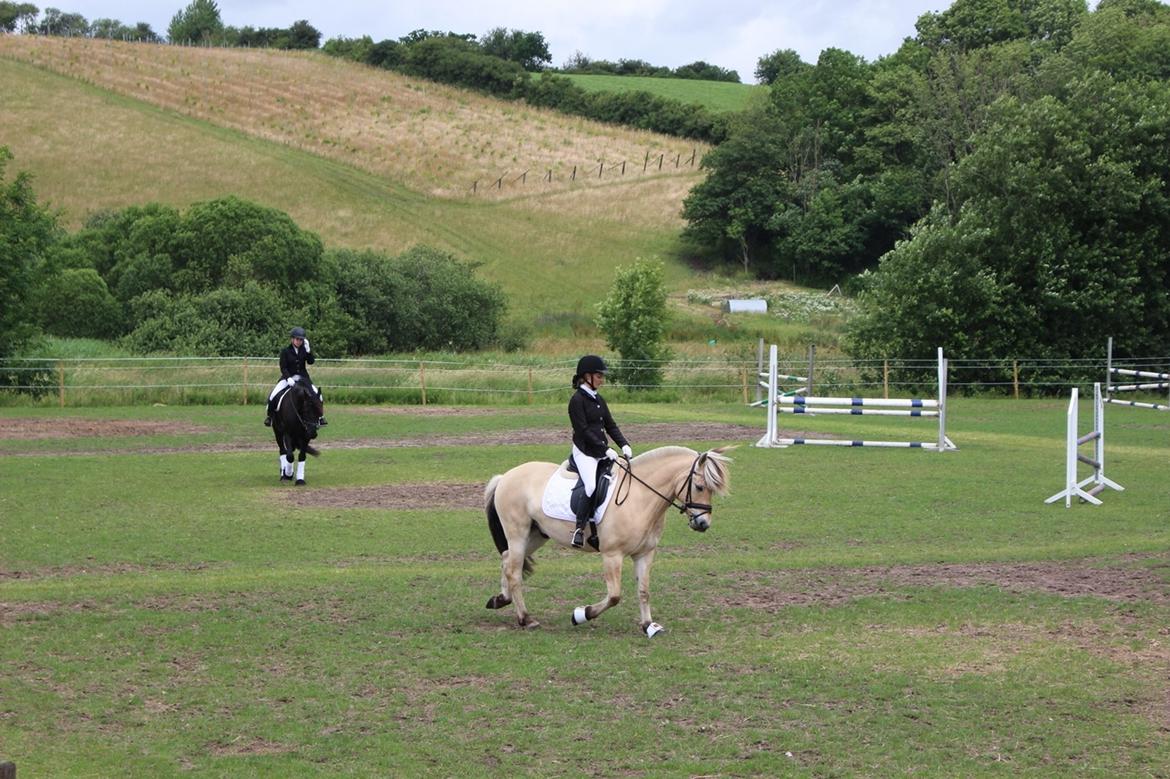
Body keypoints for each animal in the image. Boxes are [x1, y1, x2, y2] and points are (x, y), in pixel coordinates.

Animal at [484, 446, 730, 636]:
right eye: (699, 487)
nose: (703, 524)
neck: (640, 496)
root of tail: (505, 477)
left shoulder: (645, 553)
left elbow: (644, 591)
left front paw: (648, 626)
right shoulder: (613, 555)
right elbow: (614, 596)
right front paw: (582, 614)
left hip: (536, 535)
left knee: (507, 560)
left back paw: (500, 599)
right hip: (518, 533)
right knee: (514, 570)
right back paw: (526, 618)